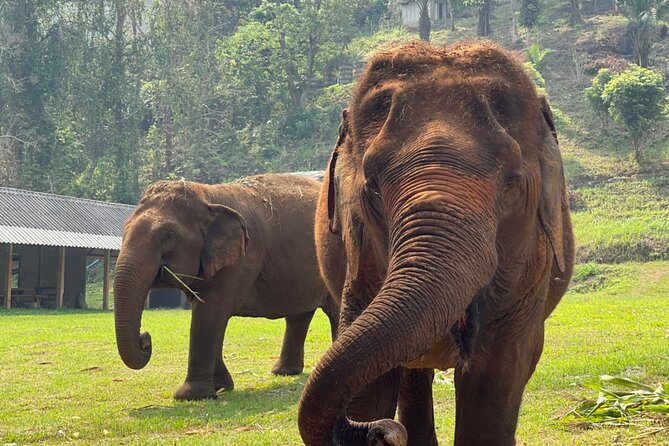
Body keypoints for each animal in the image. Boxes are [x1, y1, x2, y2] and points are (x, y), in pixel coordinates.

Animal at [113, 173, 340, 400]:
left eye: (168, 235)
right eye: (124, 229)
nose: (145, 338)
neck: (208, 195)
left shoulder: (243, 258)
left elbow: (209, 313)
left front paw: (191, 395)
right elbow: (212, 316)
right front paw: (221, 386)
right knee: (298, 315)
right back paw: (283, 372)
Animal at [298, 40, 576, 444]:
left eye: (511, 182)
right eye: (372, 188)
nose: (384, 434)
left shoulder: (529, 272)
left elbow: (494, 377)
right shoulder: (360, 261)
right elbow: (373, 378)